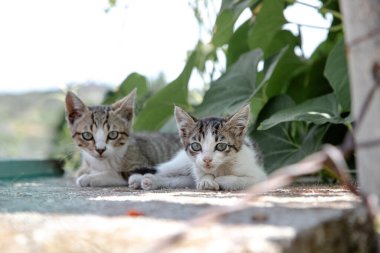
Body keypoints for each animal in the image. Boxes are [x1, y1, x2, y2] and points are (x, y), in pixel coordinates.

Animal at [130, 104, 268, 190]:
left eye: (221, 146)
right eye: (196, 146)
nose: (207, 159)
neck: (220, 168)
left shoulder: (260, 176)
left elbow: (242, 180)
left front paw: (218, 180)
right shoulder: (196, 166)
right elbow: (203, 177)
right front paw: (207, 180)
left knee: (180, 180)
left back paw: (149, 181)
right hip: (182, 162)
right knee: (163, 170)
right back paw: (139, 179)